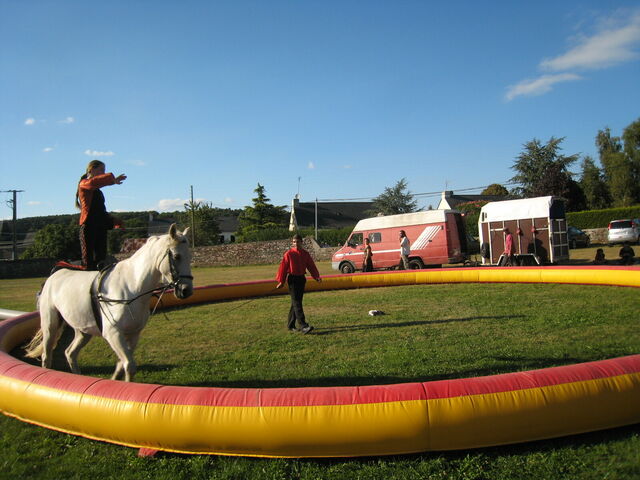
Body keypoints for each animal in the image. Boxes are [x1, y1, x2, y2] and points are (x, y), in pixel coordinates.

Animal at [25, 224, 193, 382]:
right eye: (177, 256)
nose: (186, 290)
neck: (131, 286)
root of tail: (53, 275)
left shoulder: (133, 334)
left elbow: (121, 365)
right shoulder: (113, 333)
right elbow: (129, 365)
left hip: (83, 331)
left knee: (70, 353)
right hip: (50, 325)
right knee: (47, 356)